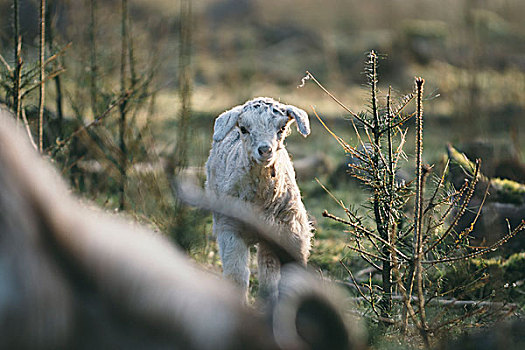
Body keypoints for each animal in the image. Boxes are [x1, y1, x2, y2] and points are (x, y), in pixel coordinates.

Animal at [205, 96, 312, 300]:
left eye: (282, 128)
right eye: (244, 129)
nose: (265, 150)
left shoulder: (292, 234)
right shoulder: (230, 230)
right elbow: (237, 277)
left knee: (268, 272)